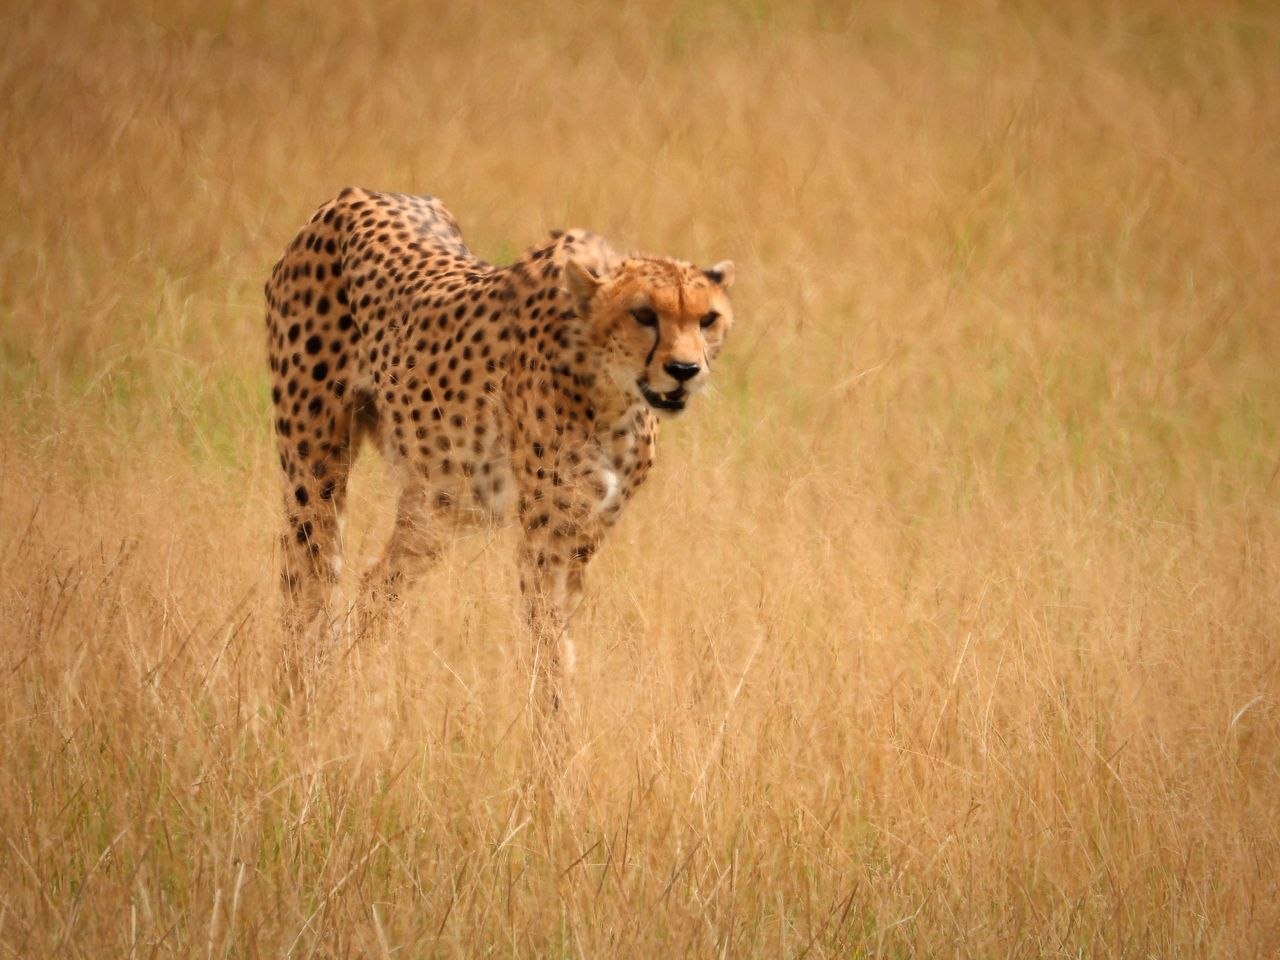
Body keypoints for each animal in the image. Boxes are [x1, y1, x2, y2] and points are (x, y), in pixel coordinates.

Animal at [264, 187, 735, 708]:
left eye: (707, 319)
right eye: (644, 315)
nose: (685, 370)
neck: (613, 395)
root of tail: (355, 195)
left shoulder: (585, 536)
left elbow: (559, 638)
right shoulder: (547, 538)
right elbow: (549, 646)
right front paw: (554, 725)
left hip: (437, 501)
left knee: (376, 585)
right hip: (315, 469)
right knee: (308, 584)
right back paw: (301, 695)